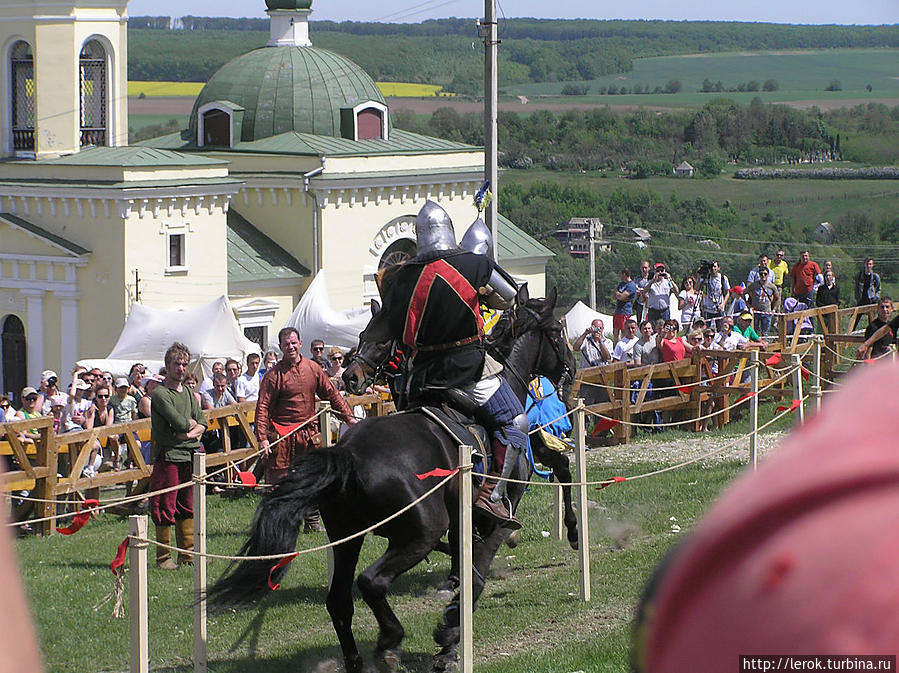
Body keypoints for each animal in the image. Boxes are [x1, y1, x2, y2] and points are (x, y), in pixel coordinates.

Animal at [210, 286, 572, 668]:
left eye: (381, 341)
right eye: (558, 333)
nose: (571, 368)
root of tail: (348, 454)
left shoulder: (462, 523)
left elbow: (466, 568)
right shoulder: (493, 522)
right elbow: (475, 575)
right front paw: (450, 636)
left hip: (348, 535)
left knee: (339, 600)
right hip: (420, 533)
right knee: (371, 582)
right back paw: (390, 640)